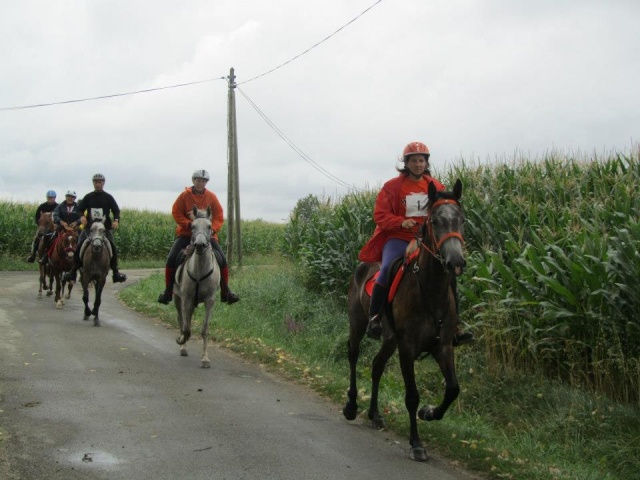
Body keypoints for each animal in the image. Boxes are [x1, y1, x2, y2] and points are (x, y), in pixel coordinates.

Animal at [344, 179, 464, 462]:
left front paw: (429, 413)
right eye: (434, 221)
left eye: (461, 219)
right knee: (353, 356)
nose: (455, 261)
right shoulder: (408, 348)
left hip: (390, 339)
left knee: (376, 366)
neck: (430, 290)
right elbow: (411, 395)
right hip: (357, 325)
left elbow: (453, 388)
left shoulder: (443, 346)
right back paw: (352, 405)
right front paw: (416, 443)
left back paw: (375, 414)